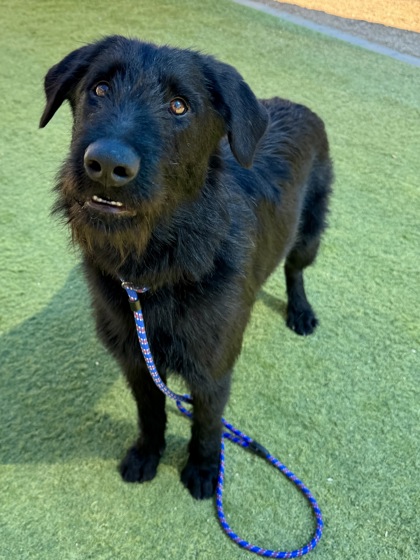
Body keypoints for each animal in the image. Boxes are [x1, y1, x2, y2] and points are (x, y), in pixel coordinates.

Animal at [40, 35, 333, 500]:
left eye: (179, 106)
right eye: (99, 88)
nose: (106, 166)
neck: (160, 264)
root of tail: (299, 105)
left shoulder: (213, 370)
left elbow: (208, 424)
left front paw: (204, 469)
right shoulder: (137, 360)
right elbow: (150, 413)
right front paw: (147, 454)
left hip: (309, 236)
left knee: (295, 269)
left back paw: (300, 311)